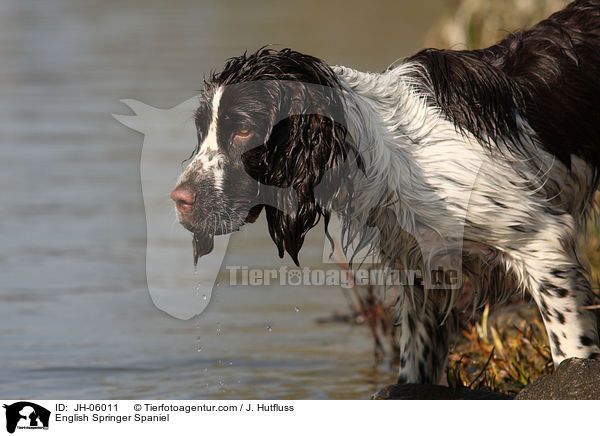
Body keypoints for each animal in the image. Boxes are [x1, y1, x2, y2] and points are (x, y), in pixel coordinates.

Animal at [170, 0, 600, 384]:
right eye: (202, 129)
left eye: (243, 130)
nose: (179, 199)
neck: (393, 150)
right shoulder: (423, 273)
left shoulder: (541, 241)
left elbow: (570, 348)